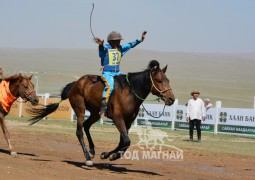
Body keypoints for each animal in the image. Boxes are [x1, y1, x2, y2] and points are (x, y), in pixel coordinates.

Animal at [28, 60, 175, 166]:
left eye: (168, 80)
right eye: (159, 80)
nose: (171, 99)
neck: (129, 92)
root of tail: (76, 83)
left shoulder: (128, 122)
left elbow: (123, 142)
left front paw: (106, 154)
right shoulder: (118, 119)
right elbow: (126, 141)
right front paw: (113, 156)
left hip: (95, 113)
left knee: (86, 126)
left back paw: (92, 150)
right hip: (80, 109)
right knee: (79, 131)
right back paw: (88, 157)